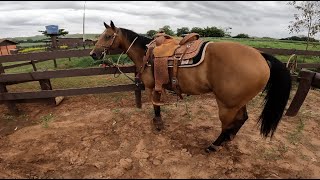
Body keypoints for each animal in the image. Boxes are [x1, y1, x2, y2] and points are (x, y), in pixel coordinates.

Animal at [90, 21, 292, 153]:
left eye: (108, 36)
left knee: (227, 124)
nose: (93, 54)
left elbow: (155, 105)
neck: (147, 53)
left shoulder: (151, 87)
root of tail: (261, 56)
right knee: (242, 119)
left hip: (226, 105)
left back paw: (214, 145)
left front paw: (158, 123)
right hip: (238, 102)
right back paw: (228, 139)